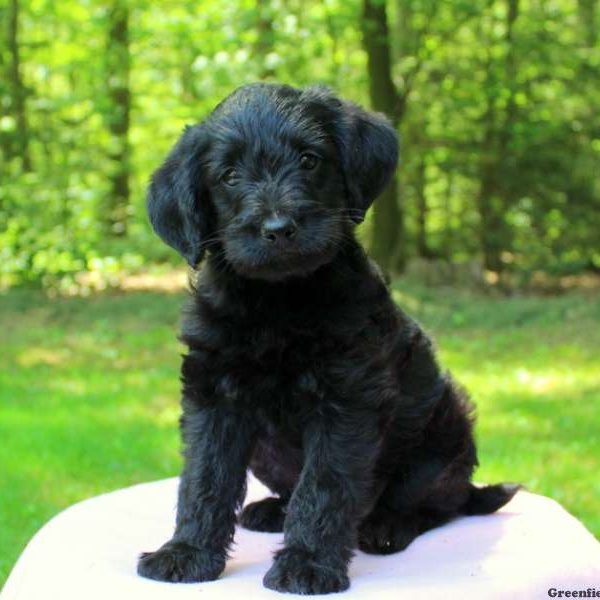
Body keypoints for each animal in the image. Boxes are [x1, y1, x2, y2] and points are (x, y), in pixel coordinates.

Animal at [138, 84, 516, 596]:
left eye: (309, 159)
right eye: (229, 176)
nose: (278, 229)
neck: (278, 300)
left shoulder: (345, 400)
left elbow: (324, 484)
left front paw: (308, 563)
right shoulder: (213, 396)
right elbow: (204, 477)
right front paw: (187, 551)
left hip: (444, 432)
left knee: (438, 503)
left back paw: (388, 525)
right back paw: (272, 510)